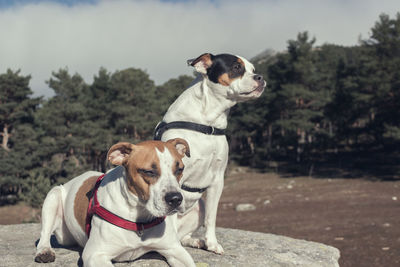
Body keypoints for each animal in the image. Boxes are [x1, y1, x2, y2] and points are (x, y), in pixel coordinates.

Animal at [35, 139, 195, 267]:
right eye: (149, 172)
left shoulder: (174, 249)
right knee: (44, 234)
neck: (139, 215)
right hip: (53, 196)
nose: (175, 199)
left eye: (180, 169)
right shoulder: (95, 254)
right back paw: (44, 251)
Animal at [155, 52, 268, 255]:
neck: (207, 123)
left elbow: (211, 218)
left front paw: (212, 244)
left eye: (253, 69)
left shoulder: (217, 179)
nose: (260, 77)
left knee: (183, 235)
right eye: (236, 67)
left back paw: (195, 241)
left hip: (198, 208)